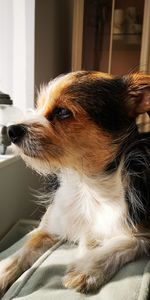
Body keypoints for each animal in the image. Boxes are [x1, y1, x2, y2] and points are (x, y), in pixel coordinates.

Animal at [0, 71, 150, 296]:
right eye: (38, 107)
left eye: (62, 112)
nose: (11, 130)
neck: (85, 184)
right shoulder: (47, 228)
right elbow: (20, 252)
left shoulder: (143, 233)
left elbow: (124, 242)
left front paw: (87, 269)